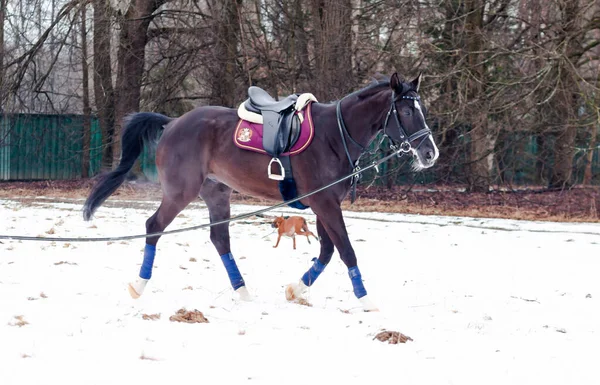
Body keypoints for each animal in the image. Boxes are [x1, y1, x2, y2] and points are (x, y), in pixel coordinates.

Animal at [83, 73, 436, 312]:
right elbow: (345, 250)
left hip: (217, 194)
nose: (430, 153)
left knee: (219, 239)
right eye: (406, 112)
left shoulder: (325, 204)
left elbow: (326, 252)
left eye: (422, 111)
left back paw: (242, 290)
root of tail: (171, 123)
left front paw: (296, 289)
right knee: (154, 227)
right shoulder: (325, 203)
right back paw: (139, 285)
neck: (334, 135)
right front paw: (366, 300)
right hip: (180, 192)